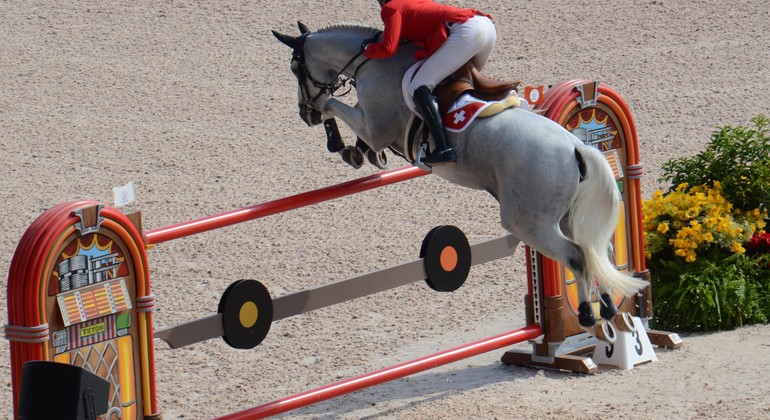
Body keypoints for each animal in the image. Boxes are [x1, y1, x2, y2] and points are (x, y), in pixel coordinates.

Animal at [272, 23, 644, 336]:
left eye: (295, 69)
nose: (305, 114)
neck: (370, 64)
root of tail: (576, 146)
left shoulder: (375, 126)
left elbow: (334, 104)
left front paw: (339, 144)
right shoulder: (376, 130)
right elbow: (353, 128)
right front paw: (358, 152)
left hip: (529, 222)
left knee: (578, 255)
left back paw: (587, 314)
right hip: (563, 215)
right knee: (600, 250)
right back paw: (608, 307)